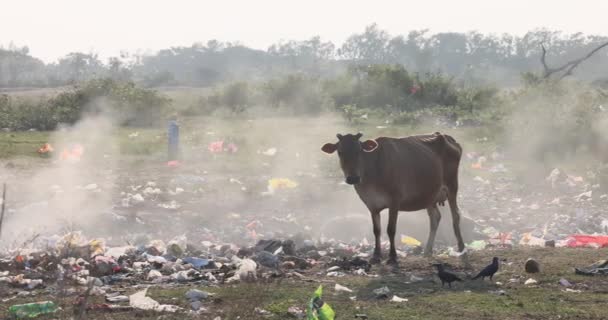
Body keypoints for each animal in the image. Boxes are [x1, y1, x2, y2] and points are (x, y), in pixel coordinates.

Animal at [324, 132, 466, 264]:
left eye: (359, 151)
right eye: (340, 152)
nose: (353, 178)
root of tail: (447, 137)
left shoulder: (394, 201)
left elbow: (391, 229)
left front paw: (392, 256)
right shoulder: (372, 205)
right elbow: (377, 230)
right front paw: (376, 255)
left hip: (452, 186)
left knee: (456, 216)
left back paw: (461, 248)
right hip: (429, 195)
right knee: (435, 218)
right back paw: (428, 250)